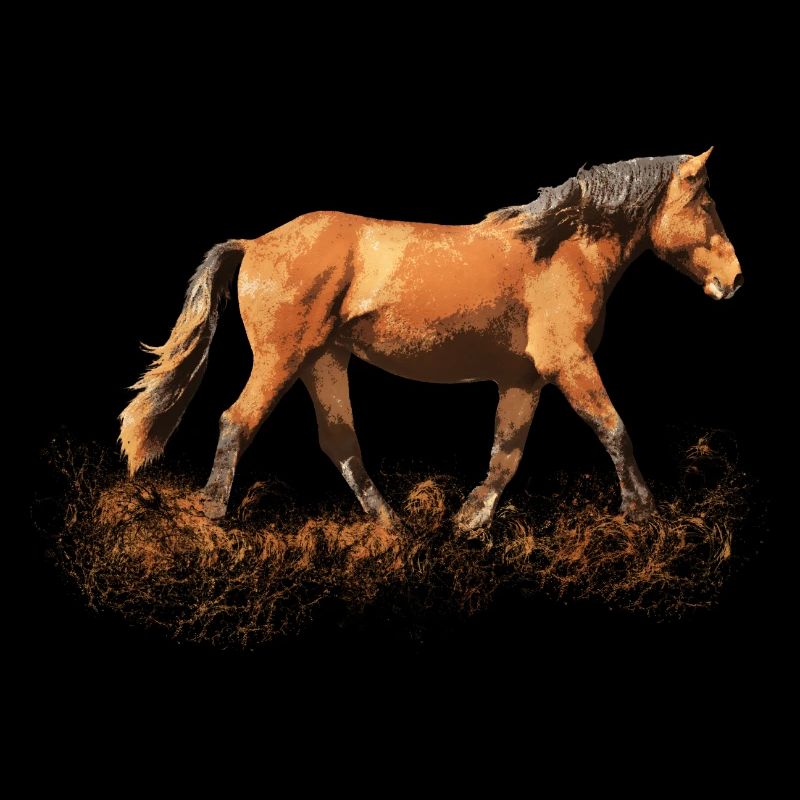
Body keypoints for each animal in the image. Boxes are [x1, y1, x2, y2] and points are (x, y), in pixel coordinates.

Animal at [119, 148, 742, 530]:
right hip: (283, 359)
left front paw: (469, 519)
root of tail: (254, 243)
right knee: (236, 421)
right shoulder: (569, 363)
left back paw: (391, 524)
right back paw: (213, 514)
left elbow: (507, 452)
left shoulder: (523, 379)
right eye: (707, 202)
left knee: (339, 442)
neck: (558, 250)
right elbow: (611, 427)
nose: (734, 279)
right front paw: (644, 512)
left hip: (324, 362)